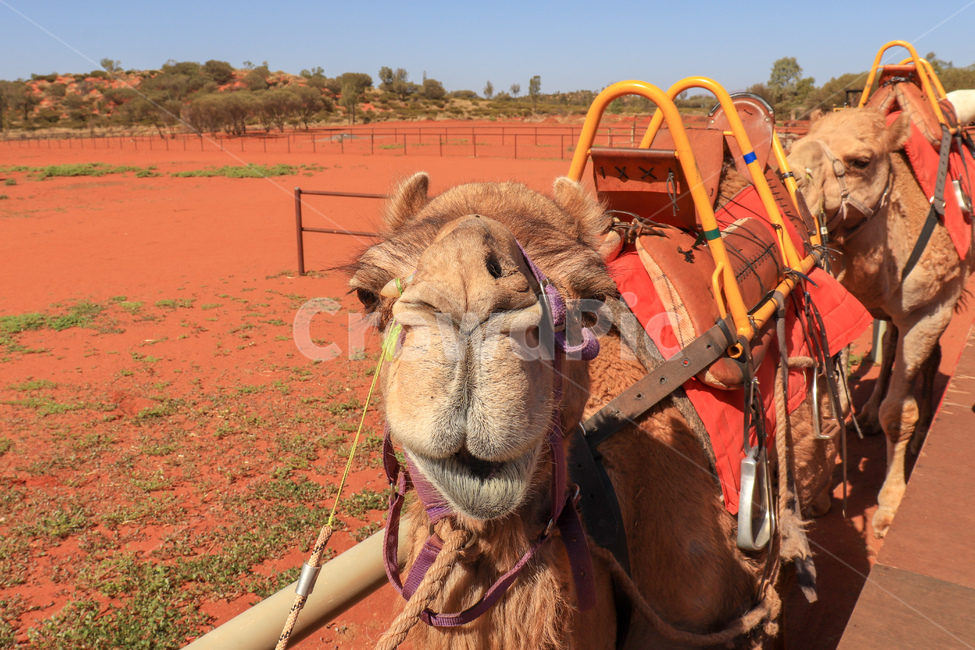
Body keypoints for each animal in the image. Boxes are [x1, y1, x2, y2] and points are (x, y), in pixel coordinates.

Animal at [787, 108, 974, 538]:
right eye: (791, 145)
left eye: (861, 160)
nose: (793, 183)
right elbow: (837, 398)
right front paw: (820, 494)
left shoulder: (931, 308)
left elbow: (899, 413)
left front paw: (890, 503)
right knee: (889, 346)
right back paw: (868, 413)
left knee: (927, 358)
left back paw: (919, 431)